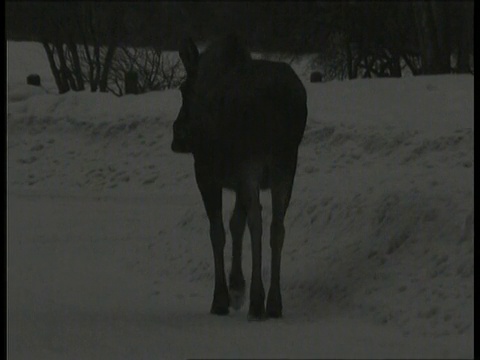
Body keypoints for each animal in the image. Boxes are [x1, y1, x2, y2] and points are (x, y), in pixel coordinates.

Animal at [172, 34, 308, 320]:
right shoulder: (237, 182)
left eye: (182, 89)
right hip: (286, 165)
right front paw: (237, 287)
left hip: (252, 163)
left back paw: (258, 301)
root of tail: (282, 99)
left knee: (257, 221)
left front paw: (222, 298)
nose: (178, 135)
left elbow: (218, 231)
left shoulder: (206, 175)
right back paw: (274, 302)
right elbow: (236, 223)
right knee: (277, 226)